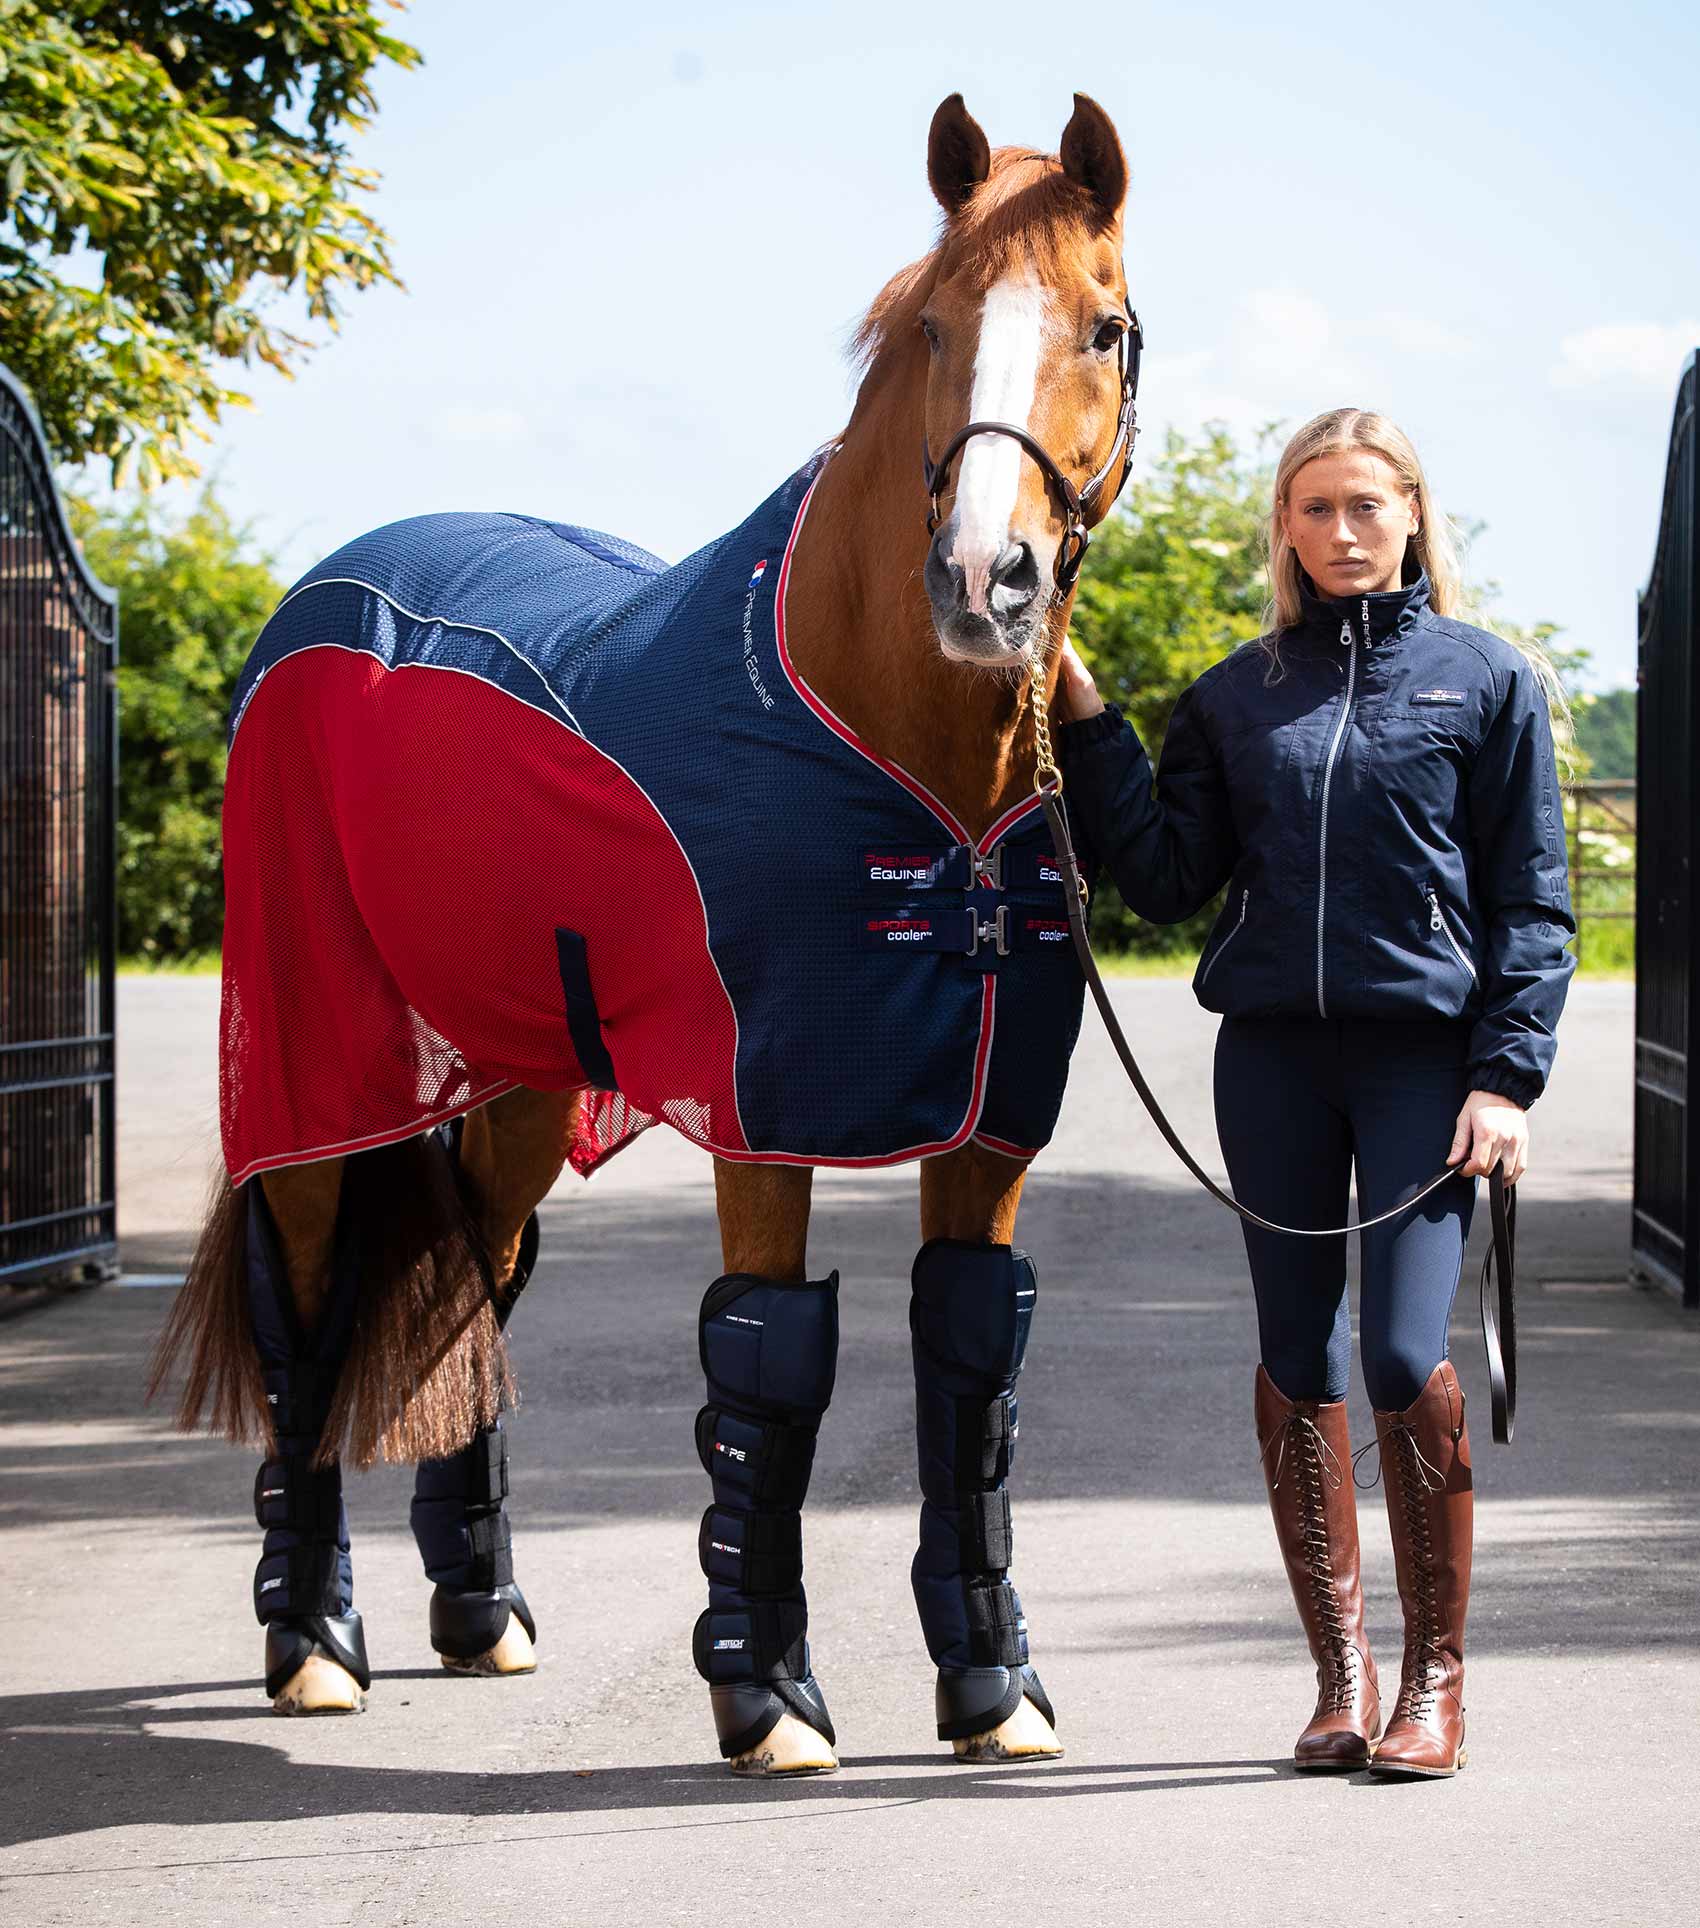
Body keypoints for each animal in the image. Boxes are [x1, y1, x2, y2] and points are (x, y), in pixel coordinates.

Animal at [152, 91, 1139, 1778]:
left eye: (1107, 327)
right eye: (933, 327)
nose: (984, 584)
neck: (893, 747)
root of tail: (325, 597)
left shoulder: (988, 1124)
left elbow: (969, 1370)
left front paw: (995, 1684)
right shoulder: (765, 1110)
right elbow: (770, 1371)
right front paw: (767, 1696)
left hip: (519, 1081)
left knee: (472, 1283)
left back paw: (479, 1610)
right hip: (319, 1057)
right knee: (313, 1303)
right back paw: (311, 1638)